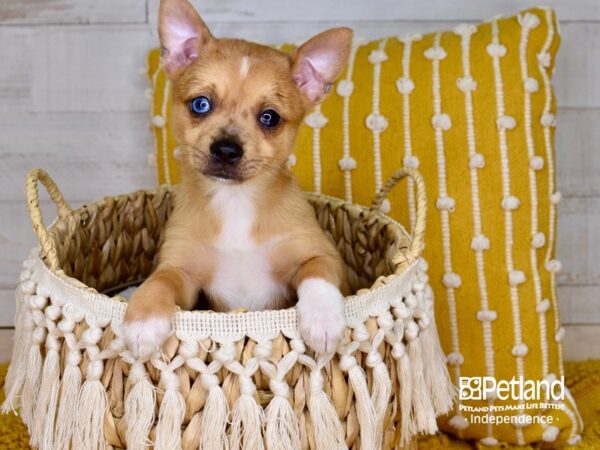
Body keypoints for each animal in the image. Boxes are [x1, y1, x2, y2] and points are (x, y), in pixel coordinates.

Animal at [124, 0, 354, 358]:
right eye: (200, 104)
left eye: (269, 117)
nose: (226, 150)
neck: (235, 201)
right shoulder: (183, 274)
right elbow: (160, 280)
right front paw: (144, 320)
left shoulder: (323, 256)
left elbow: (316, 273)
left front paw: (323, 319)